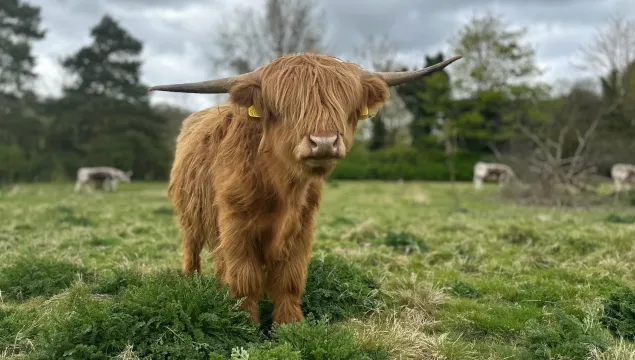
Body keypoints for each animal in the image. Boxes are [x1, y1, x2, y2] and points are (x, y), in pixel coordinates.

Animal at [150, 52, 462, 324]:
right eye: (284, 108)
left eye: (341, 104)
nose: (324, 142)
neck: (281, 187)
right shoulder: (235, 225)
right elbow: (244, 277)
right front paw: (244, 322)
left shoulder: (302, 225)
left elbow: (290, 277)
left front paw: (290, 324)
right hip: (190, 216)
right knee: (192, 248)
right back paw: (191, 281)